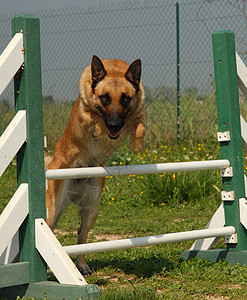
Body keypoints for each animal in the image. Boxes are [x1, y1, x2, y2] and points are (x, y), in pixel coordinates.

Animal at [45, 55, 146, 276]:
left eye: (125, 99)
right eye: (104, 98)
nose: (115, 125)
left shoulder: (137, 113)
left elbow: (140, 125)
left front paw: (136, 143)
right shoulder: (86, 114)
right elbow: (95, 118)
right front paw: (100, 129)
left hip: (92, 209)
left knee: (81, 235)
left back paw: (82, 265)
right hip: (53, 211)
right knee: (54, 229)